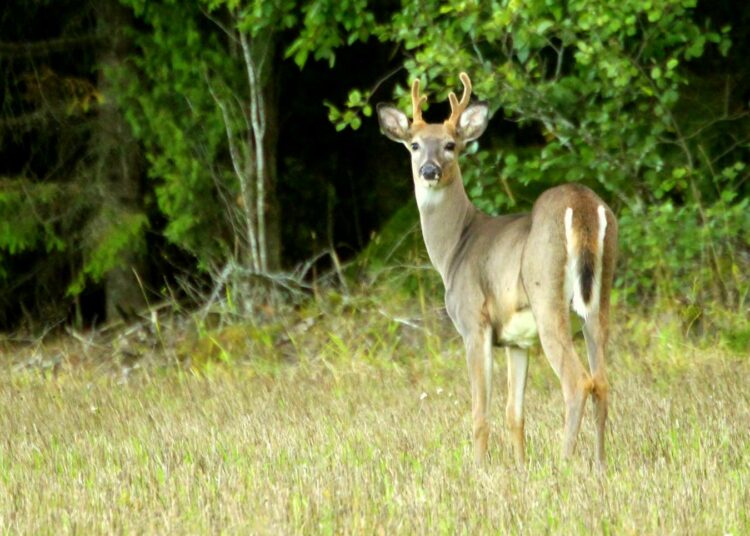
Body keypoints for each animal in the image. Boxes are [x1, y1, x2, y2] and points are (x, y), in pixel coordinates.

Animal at [378, 73, 620, 466]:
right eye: (414, 145)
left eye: (450, 145)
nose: (429, 170)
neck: (454, 249)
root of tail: (583, 204)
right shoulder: (517, 340)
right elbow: (514, 414)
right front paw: (520, 467)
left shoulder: (473, 322)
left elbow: (480, 413)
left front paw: (479, 468)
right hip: (600, 298)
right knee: (602, 381)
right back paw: (598, 464)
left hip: (546, 294)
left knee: (577, 382)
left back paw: (564, 463)